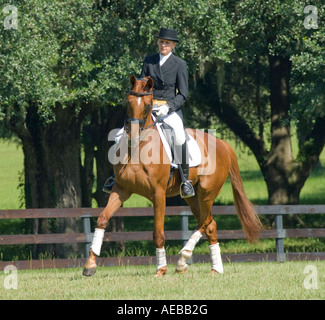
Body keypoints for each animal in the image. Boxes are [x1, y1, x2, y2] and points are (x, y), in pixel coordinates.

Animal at [82, 75, 262, 278]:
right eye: (128, 102)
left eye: (147, 105)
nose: (132, 136)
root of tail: (222, 144)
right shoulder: (121, 189)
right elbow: (102, 219)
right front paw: (90, 265)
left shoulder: (158, 194)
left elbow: (158, 233)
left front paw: (161, 269)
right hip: (192, 196)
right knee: (210, 223)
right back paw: (214, 268)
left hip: (207, 193)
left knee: (204, 221)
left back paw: (184, 258)